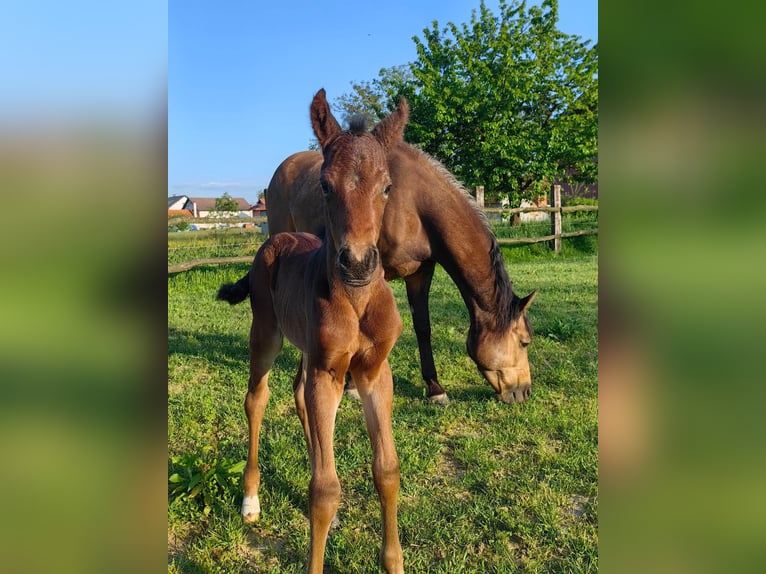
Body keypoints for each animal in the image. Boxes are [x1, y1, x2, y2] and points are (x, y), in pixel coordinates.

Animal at [217, 89, 407, 573]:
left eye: (387, 187)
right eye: (325, 185)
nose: (357, 263)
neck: (357, 302)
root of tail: (275, 239)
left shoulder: (373, 372)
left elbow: (387, 470)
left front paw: (394, 562)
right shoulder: (329, 370)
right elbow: (324, 489)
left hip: (308, 352)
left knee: (299, 393)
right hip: (266, 333)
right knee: (257, 399)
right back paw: (250, 499)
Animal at [265, 121, 536, 405]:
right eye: (525, 342)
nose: (524, 391)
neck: (415, 203)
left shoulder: (421, 272)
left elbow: (423, 327)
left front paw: (435, 388)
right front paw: (352, 385)